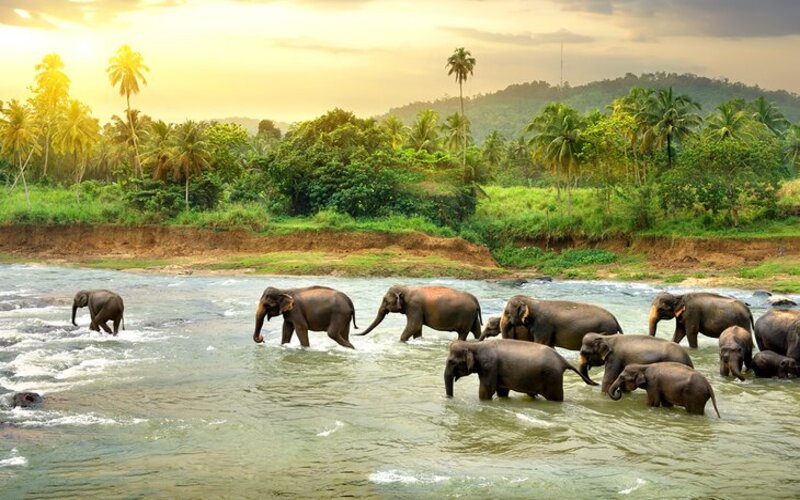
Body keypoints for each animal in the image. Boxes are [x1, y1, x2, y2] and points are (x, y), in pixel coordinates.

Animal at [444, 339, 597, 401]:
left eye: (451, 362)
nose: (450, 398)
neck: (474, 345)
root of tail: (563, 360)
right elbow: (502, 391)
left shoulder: (489, 366)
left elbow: (486, 390)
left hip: (553, 377)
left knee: (556, 398)